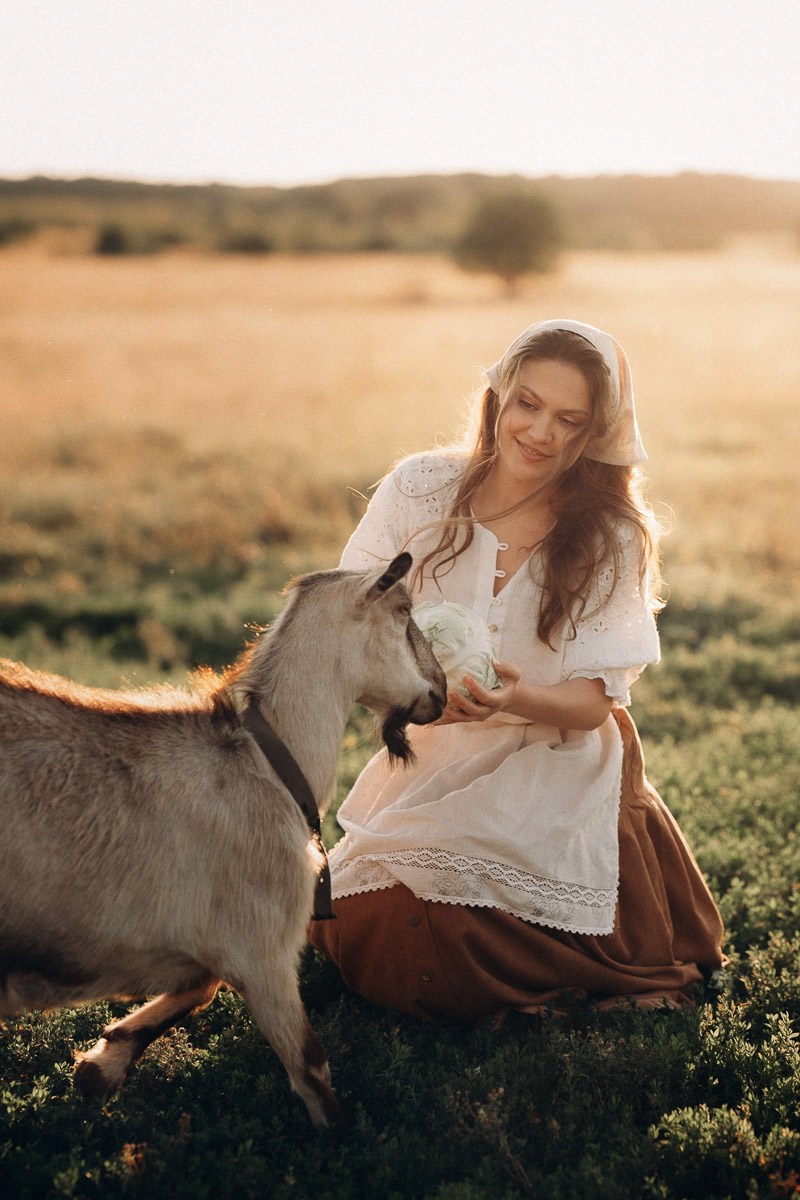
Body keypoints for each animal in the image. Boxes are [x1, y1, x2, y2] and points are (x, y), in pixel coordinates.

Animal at [0, 549, 448, 1123]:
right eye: (403, 610)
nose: (441, 690)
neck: (268, 764)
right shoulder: (264, 950)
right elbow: (310, 1067)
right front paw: (342, 1136)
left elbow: (201, 985)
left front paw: (101, 1064)